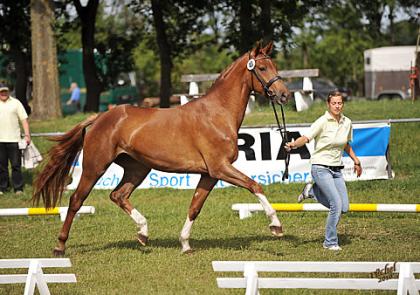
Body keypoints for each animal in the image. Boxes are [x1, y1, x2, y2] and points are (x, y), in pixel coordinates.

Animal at [32, 42, 290, 256]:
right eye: (263, 67)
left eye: (275, 65)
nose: (284, 95)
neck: (217, 114)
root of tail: (101, 117)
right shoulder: (220, 168)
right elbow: (254, 185)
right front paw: (276, 226)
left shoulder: (209, 174)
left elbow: (195, 207)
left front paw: (185, 245)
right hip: (95, 167)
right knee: (76, 200)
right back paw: (60, 246)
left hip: (137, 168)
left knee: (118, 195)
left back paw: (143, 233)